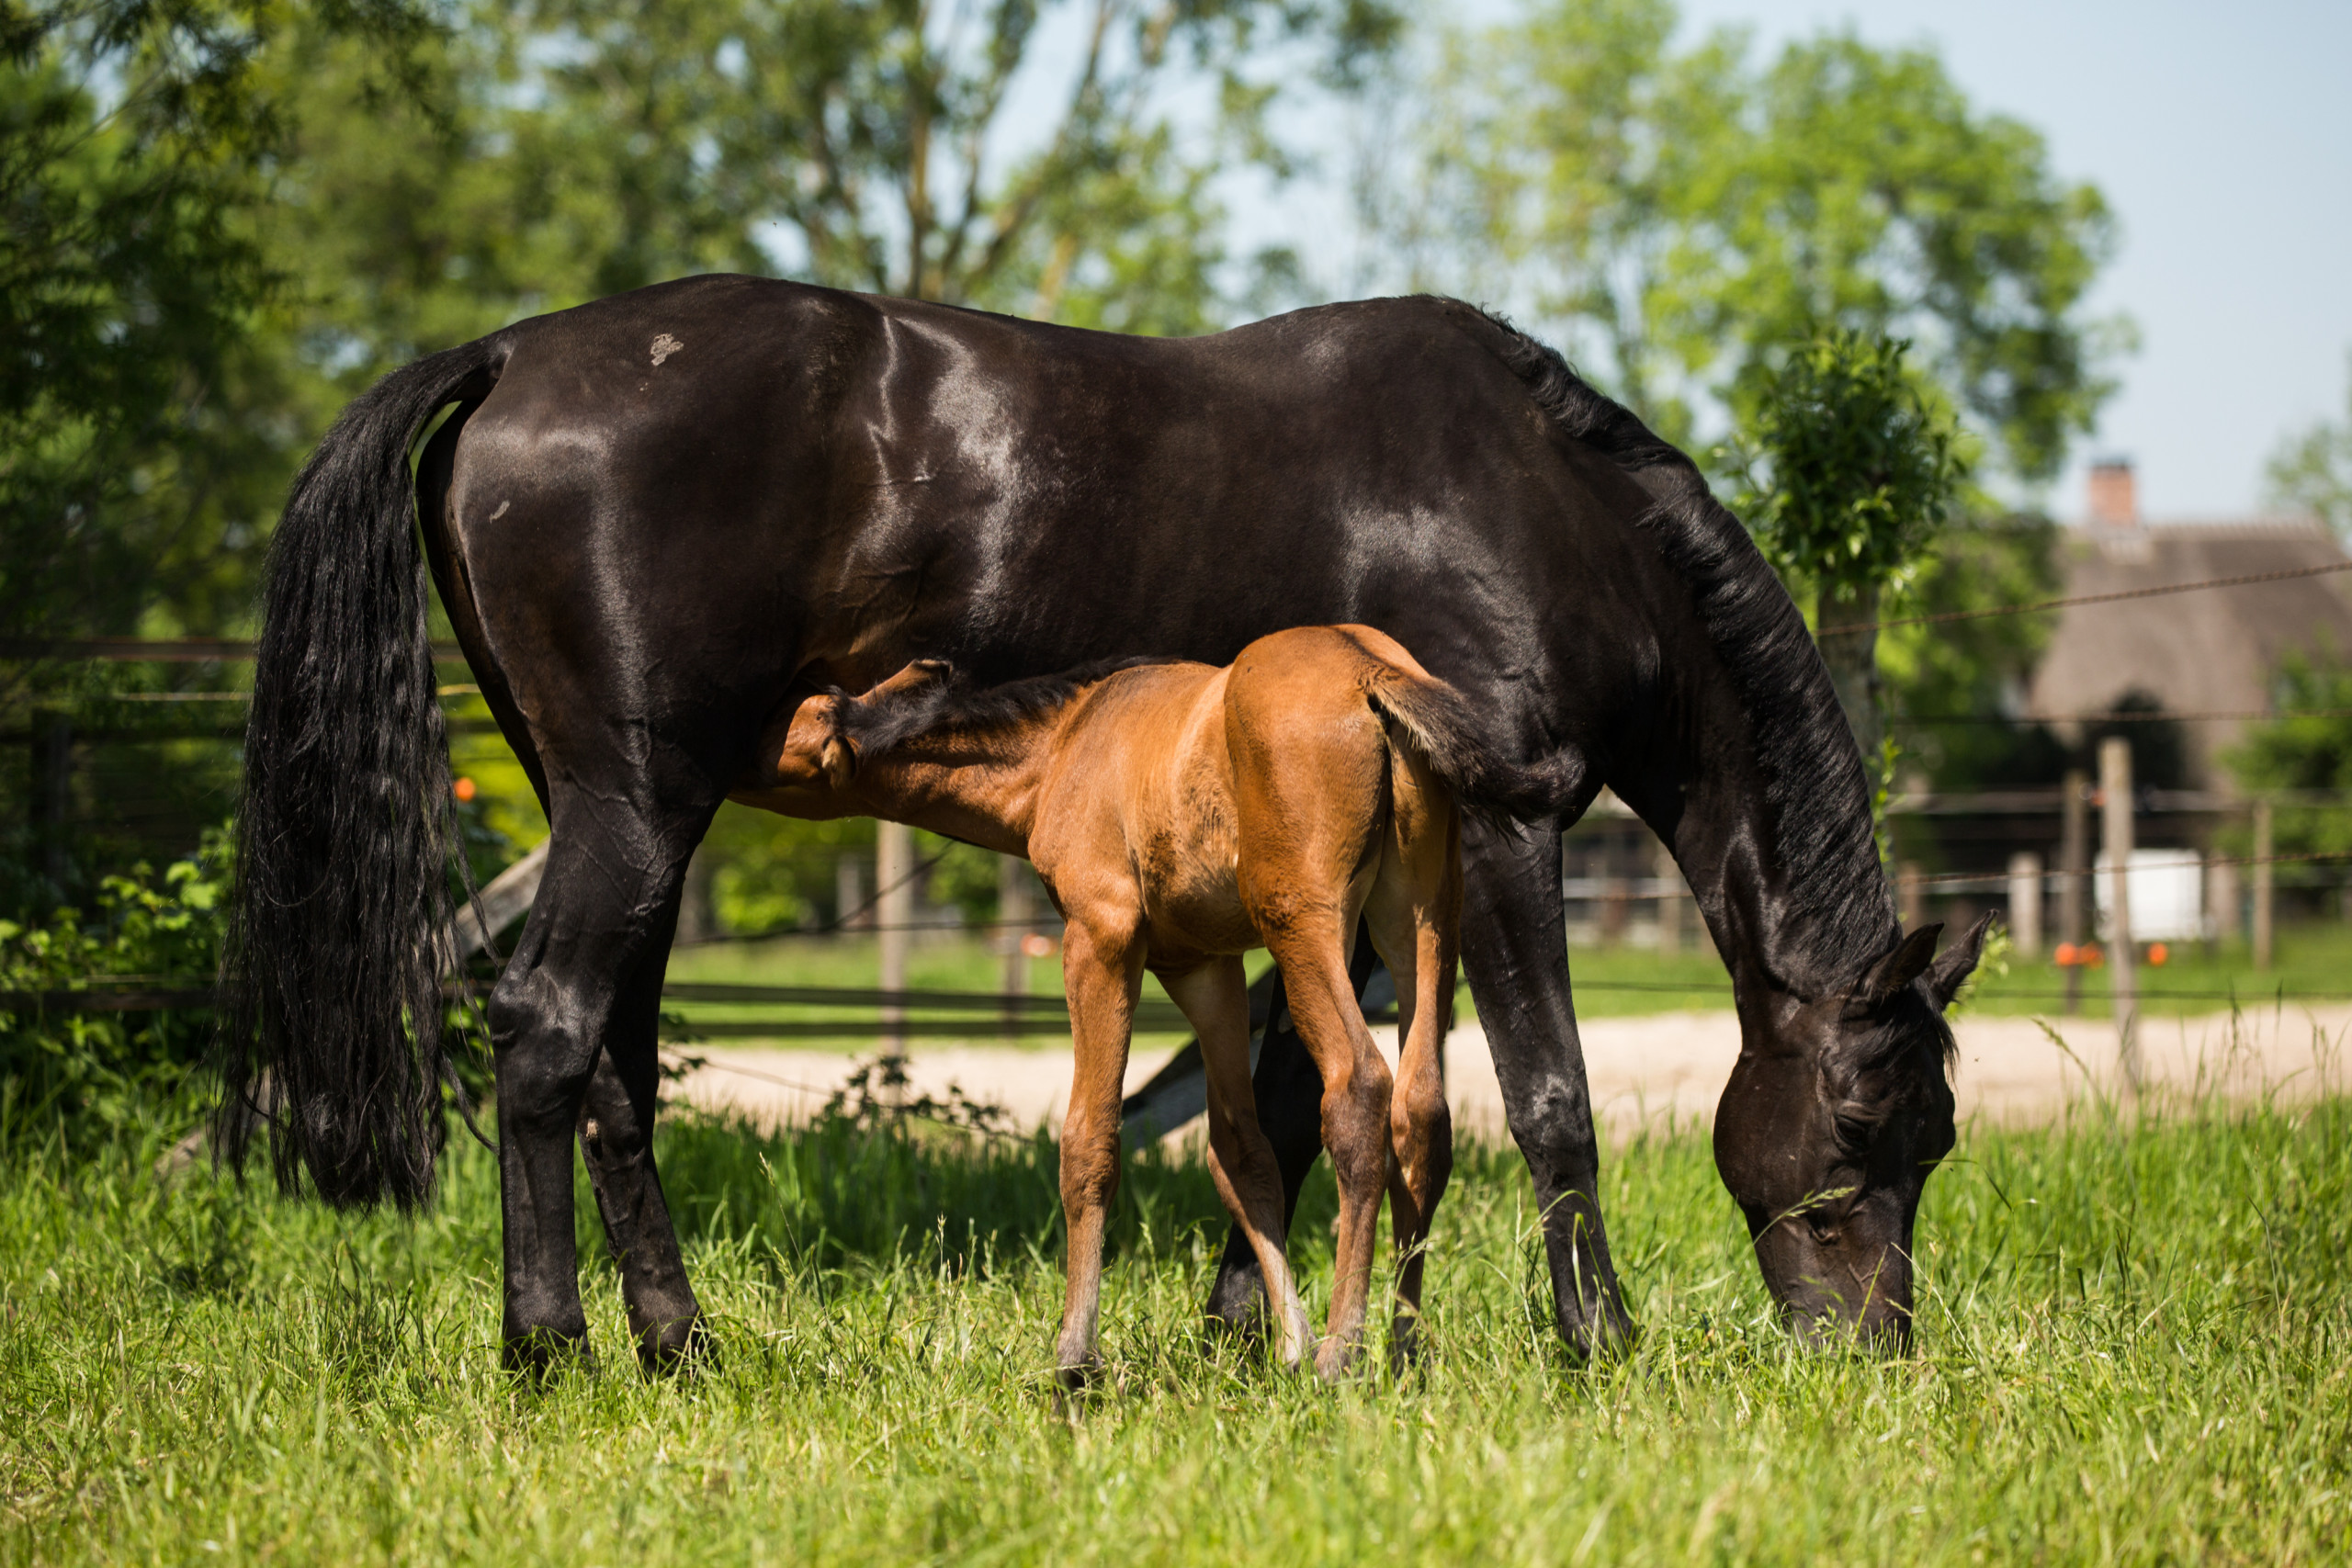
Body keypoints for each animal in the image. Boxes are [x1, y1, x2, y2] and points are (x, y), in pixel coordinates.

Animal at [746, 627, 1542, 1380]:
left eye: (795, 720)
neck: (1063, 744)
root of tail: (1371, 674)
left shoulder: (1100, 936)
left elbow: (1089, 1139)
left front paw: (1074, 1358)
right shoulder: (1203, 967)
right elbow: (1239, 1150)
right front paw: (1286, 1344)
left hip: (1305, 922)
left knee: (1359, 1088)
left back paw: (1342, 1353)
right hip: (1422, 920)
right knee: (1421, 1110)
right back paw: (1402, 1352)